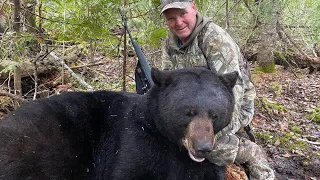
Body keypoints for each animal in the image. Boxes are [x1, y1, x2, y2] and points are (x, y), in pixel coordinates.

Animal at [0, 67, 235, 179]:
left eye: (215, 115)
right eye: (188, 112)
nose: (203, 148)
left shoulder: (208, 165)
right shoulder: (134, 141)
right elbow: (128, 171)